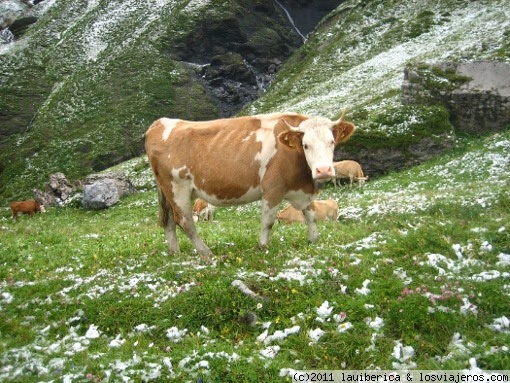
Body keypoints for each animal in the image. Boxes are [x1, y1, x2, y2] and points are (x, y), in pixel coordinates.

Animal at [144, 112, 354, 255]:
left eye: (332, 142)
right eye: (305, 145)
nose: (323, 170)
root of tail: (159, 123)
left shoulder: (301, 190)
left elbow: (310, 215)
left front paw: (314, 240)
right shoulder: (273, 188)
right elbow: (268, 222)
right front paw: (263, 246)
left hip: (168, 191)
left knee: (169, 221)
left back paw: (175, 252)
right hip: (177, 188)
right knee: (185, 221)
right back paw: (206, 253)